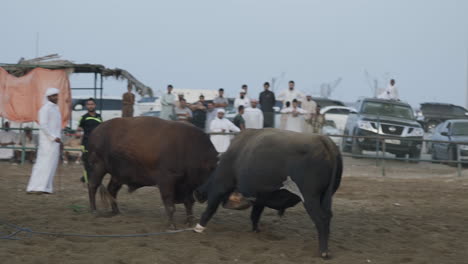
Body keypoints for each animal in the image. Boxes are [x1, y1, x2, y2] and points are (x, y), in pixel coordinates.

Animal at [84, 116, 219, 228]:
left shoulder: (186, 185)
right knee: (93, 186)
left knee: (111, 189)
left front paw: (189, 222)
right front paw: (172, 225)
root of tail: (95, 131)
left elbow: (189, 202)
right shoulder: (167, 181)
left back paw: (116, 212)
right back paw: (94, 211)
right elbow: (170, 205)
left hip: (118, 175)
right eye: (212, 174)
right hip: (98, 167)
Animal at [195, 129, 344, 258]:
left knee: (321, 219)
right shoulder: (260, 197)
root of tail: (324, 140)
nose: (197, 193)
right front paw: (256, 231)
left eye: (207, 174)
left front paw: (199, 227)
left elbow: (210, 208)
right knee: (327, 217)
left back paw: (323, 251)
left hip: (310, 198)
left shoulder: (220, 187)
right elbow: (255, 215)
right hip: (324, 197)